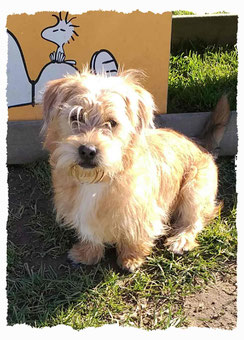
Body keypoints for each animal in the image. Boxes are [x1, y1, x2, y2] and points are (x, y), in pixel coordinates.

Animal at [41, 67, 230, 272]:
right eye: (75, 117)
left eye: (112, 122)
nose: (87, 150)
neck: (98, 180)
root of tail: (201, 144)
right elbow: (90, 232)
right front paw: (88, 252)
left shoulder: (144, 209)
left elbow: (136, 233)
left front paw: (131, 257)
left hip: (194, 191)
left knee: (194, 220)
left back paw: (181, 240)